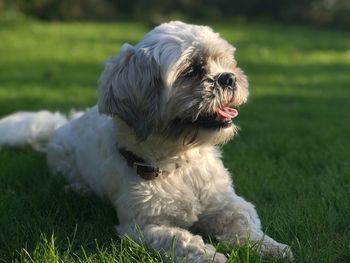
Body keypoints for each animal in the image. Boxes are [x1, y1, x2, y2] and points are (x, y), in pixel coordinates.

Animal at [0, 21, 292, 262]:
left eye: (226, 63)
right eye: (191, 70)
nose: (229, 78)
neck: (179, 161)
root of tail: (65, 121)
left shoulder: (227, 204)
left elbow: (245, 223)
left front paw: (271, 247)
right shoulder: (144, 227)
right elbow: (182, 239)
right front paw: (212, 256)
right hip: (62, 160)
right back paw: (79, 189)